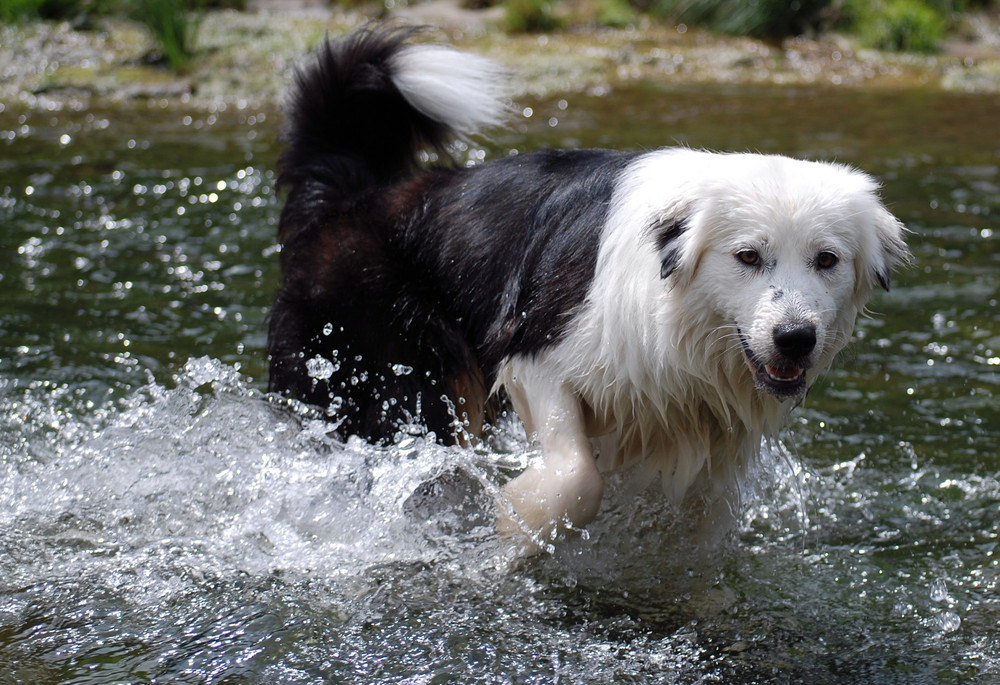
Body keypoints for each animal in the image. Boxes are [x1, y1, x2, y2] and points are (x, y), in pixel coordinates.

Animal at [270, 25, 912, 552]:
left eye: (826, 260)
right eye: (748, 256)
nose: (795, 338)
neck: (671, 314)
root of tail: (346, 202)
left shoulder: (709, 441)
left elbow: (700, 539)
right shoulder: (536, 351)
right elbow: (577, 480)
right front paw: (515, 524)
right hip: (395, 386)